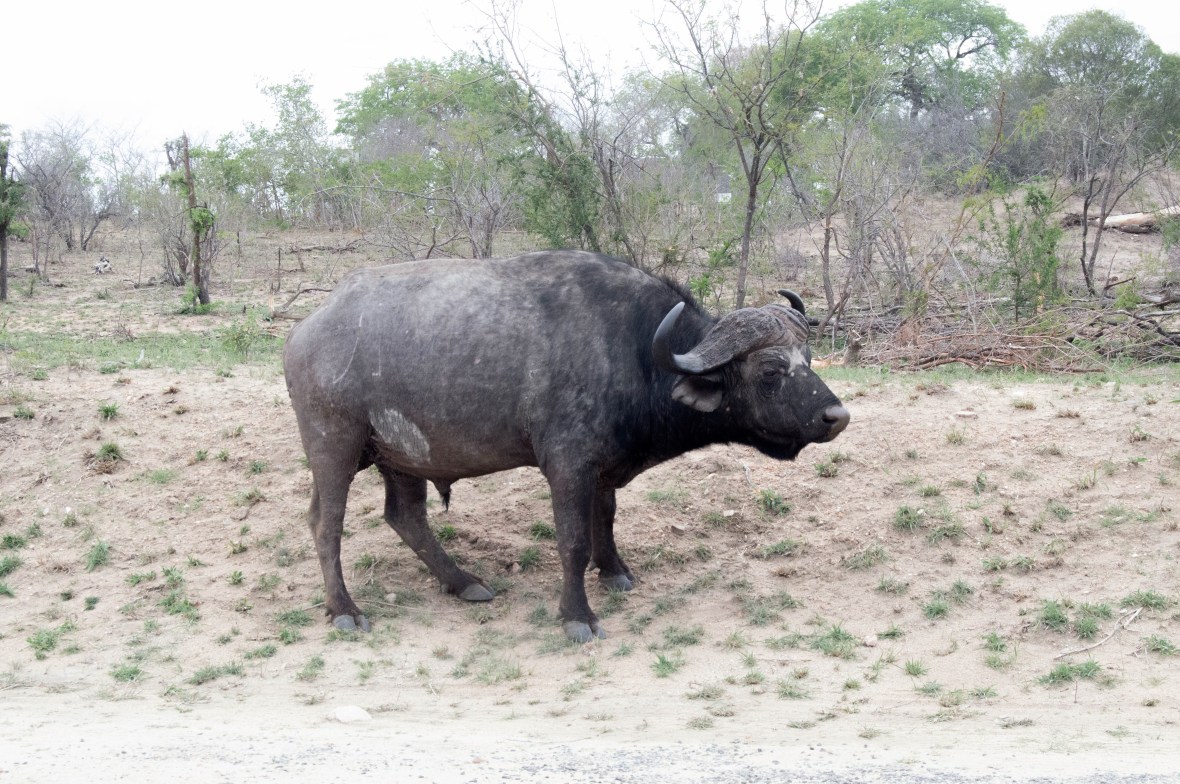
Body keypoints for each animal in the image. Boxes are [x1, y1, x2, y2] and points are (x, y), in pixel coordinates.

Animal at [283, 250, 849, 642]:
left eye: (808, 358)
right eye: (771, 371)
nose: (836, 416)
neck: (634, 351)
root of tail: (308, 328)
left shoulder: (603, 467)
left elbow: (606, 519)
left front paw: (614, 571)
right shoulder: (568, 467)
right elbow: (573, 541)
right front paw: (577, 615)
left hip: (403, 458)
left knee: (406, 518)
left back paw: (463, 582)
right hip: (334, 447)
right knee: (326, 523)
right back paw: (345, 610)